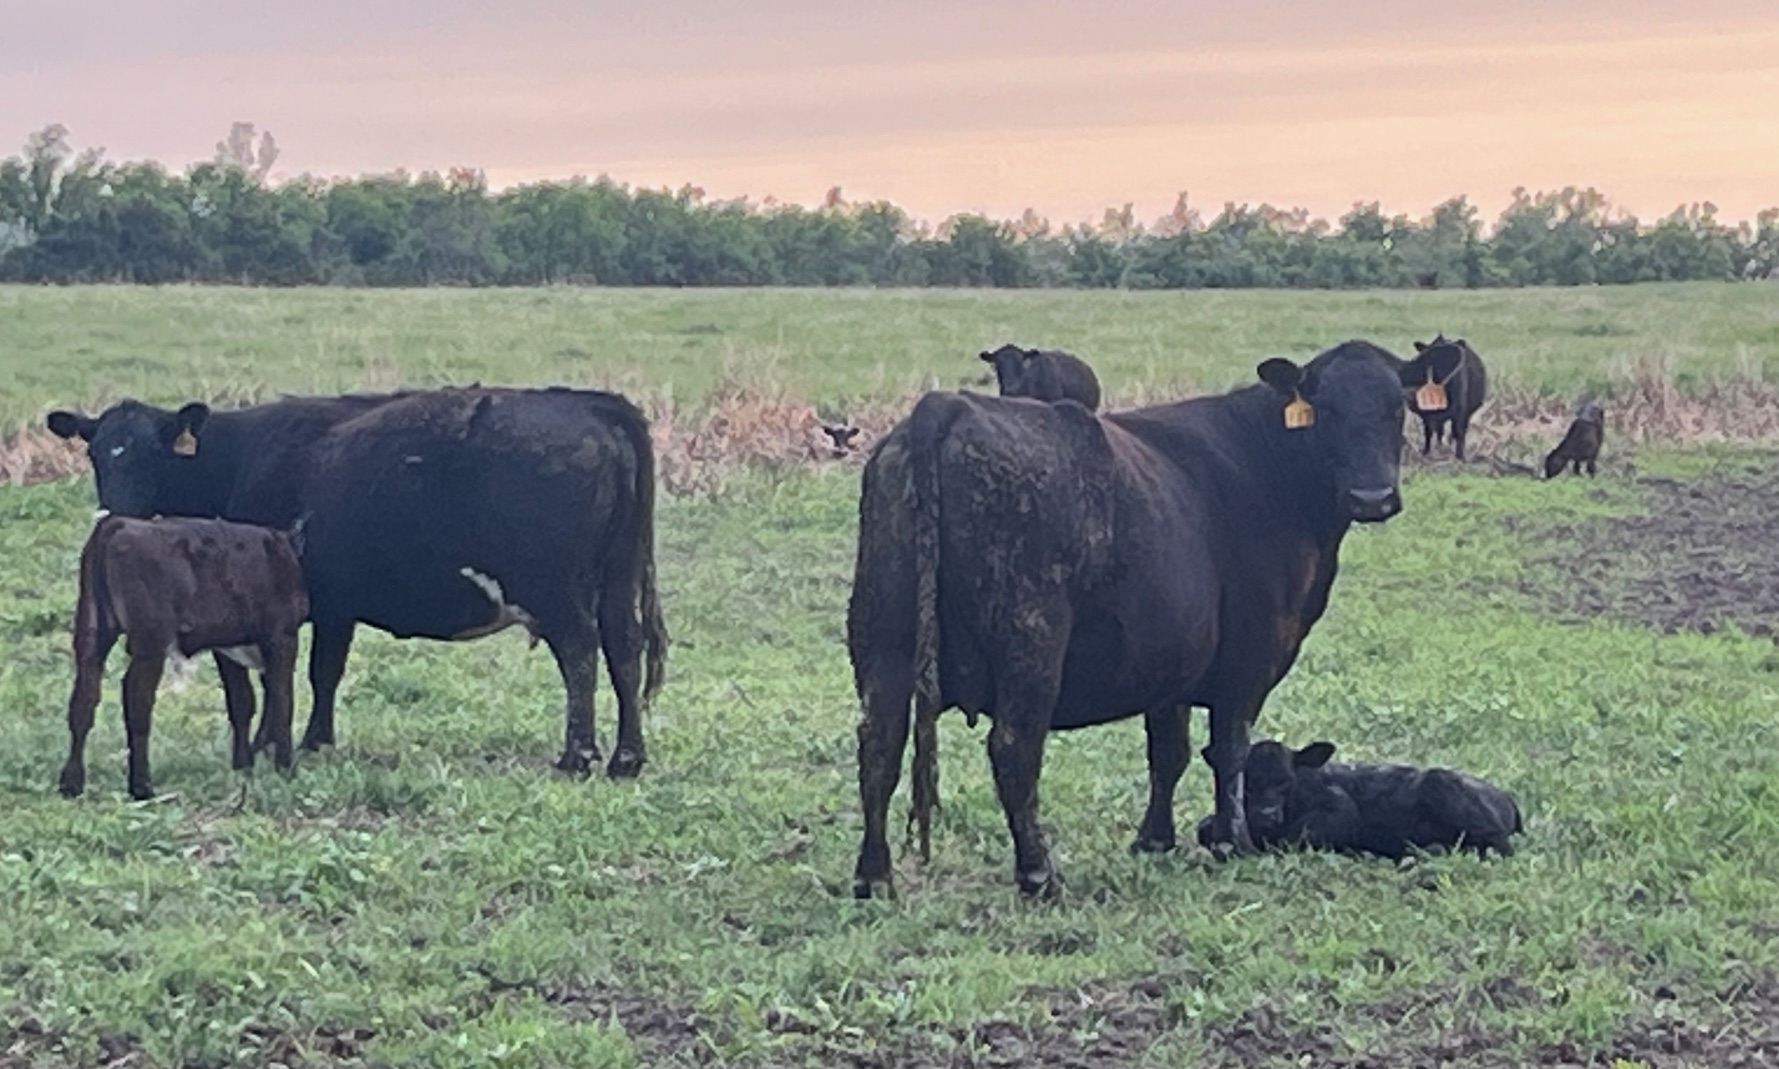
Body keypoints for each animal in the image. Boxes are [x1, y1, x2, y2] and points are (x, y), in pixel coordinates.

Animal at [58, 515, 309, 800]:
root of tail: (121, 523)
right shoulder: (283, 635)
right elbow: (283, 702)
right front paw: (286, 769)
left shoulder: (229, 647)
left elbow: (242, 702)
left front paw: (243, 766)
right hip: (150, 641)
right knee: (136, 701)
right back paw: (142, 786)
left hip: (91, 631)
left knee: (83, 700)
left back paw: (71, 783)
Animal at [849, 339, 1410, 898]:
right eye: (1326, 408)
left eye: (1398, 407)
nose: (1372, 498)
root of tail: (947, 406)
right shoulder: (1248, 662)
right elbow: (1230, 751)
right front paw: (1234, 844)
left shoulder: (1171, 665)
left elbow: (1169, 751)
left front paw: (1154, 840)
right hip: (1030, 645)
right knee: (1013, 749)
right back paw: (1038, 874)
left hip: (884, 644)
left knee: (879, 746)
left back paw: (873, 876)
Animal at [1191, 739, 1523, 859]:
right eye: (1246, 784)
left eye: (1286, 780)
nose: (1267, 813)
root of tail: (1506, 796)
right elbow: (1204, 827)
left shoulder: (1340, 808)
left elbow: (1293, 838)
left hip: (1440, 782)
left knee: (1499, 846)